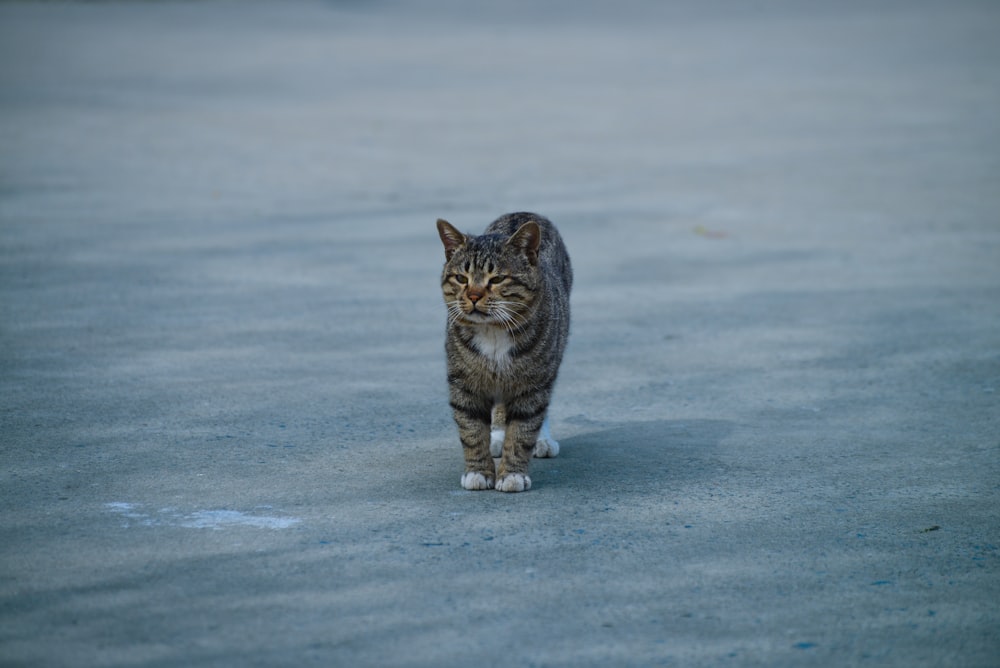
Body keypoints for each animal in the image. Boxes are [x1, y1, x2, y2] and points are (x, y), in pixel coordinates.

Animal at [436, 211, 576, 494]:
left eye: (497, 279)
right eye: (461, 278)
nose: (474, 296)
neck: (493, 331)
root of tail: (525, 213)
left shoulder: (534, 384)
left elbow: (523, 430)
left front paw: (512, 474)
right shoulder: (464, 383)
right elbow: (471, 430)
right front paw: (478, 472)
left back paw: (542, 440)